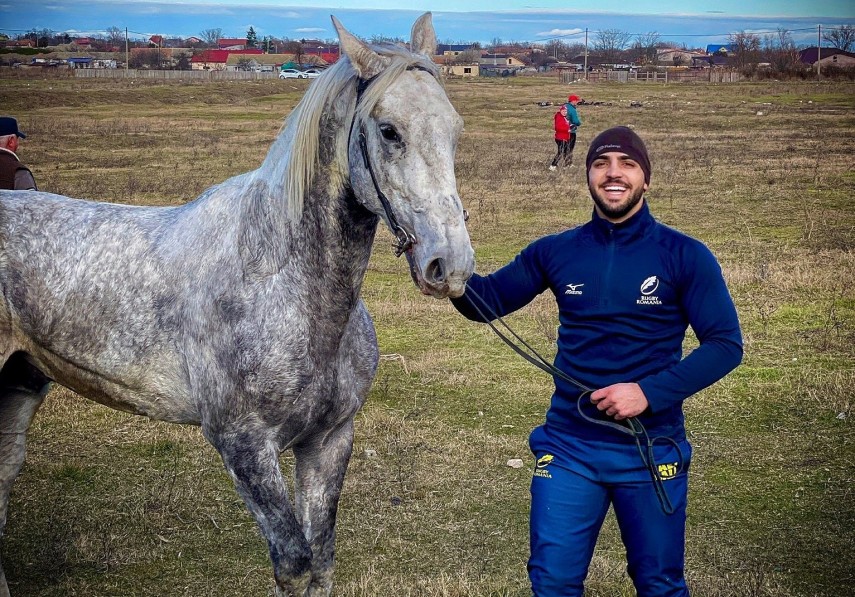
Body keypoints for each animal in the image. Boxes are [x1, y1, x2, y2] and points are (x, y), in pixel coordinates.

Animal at [0, 14, 474, 596]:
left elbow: (321, 560)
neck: (282, 282)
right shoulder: (244, 446)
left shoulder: (328, 440)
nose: (450, 265)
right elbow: (293, 562)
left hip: (21, 381)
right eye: (389, 132)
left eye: (454, 130)